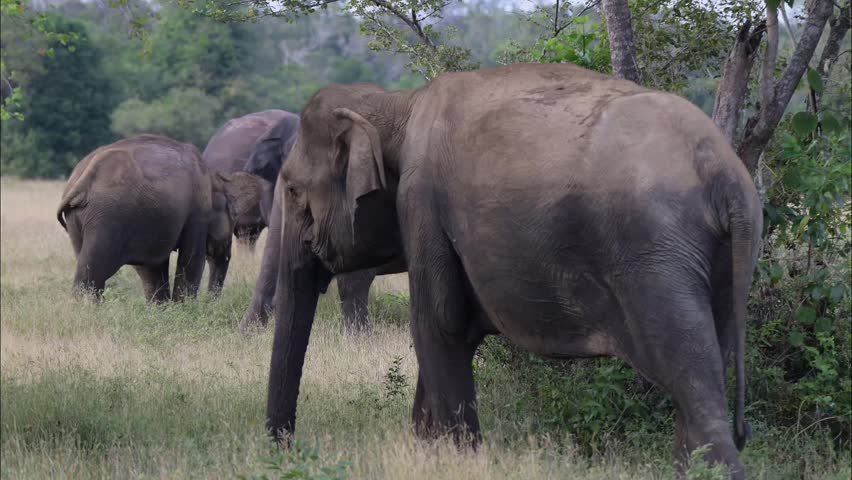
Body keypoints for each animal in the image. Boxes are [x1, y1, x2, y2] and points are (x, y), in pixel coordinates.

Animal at [57, 134, 266, 301]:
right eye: (232, 218)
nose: (211, 302)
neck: (214, 178)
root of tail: (82, 180)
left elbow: (153, 267)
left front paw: (162, 309)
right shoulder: (197, 213)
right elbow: (191, 258)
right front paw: (183, 308)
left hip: (79, 217)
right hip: (106, 218)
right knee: (93, 270)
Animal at [262, 63, 763, 479]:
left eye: (293, 191)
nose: (284, 451)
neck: (395, 104)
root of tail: (725, 173)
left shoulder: (421, 203)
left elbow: (437, 325)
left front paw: (456, 461)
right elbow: (447, 333)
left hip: (653, 255)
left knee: (692, 381)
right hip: (717, 262)